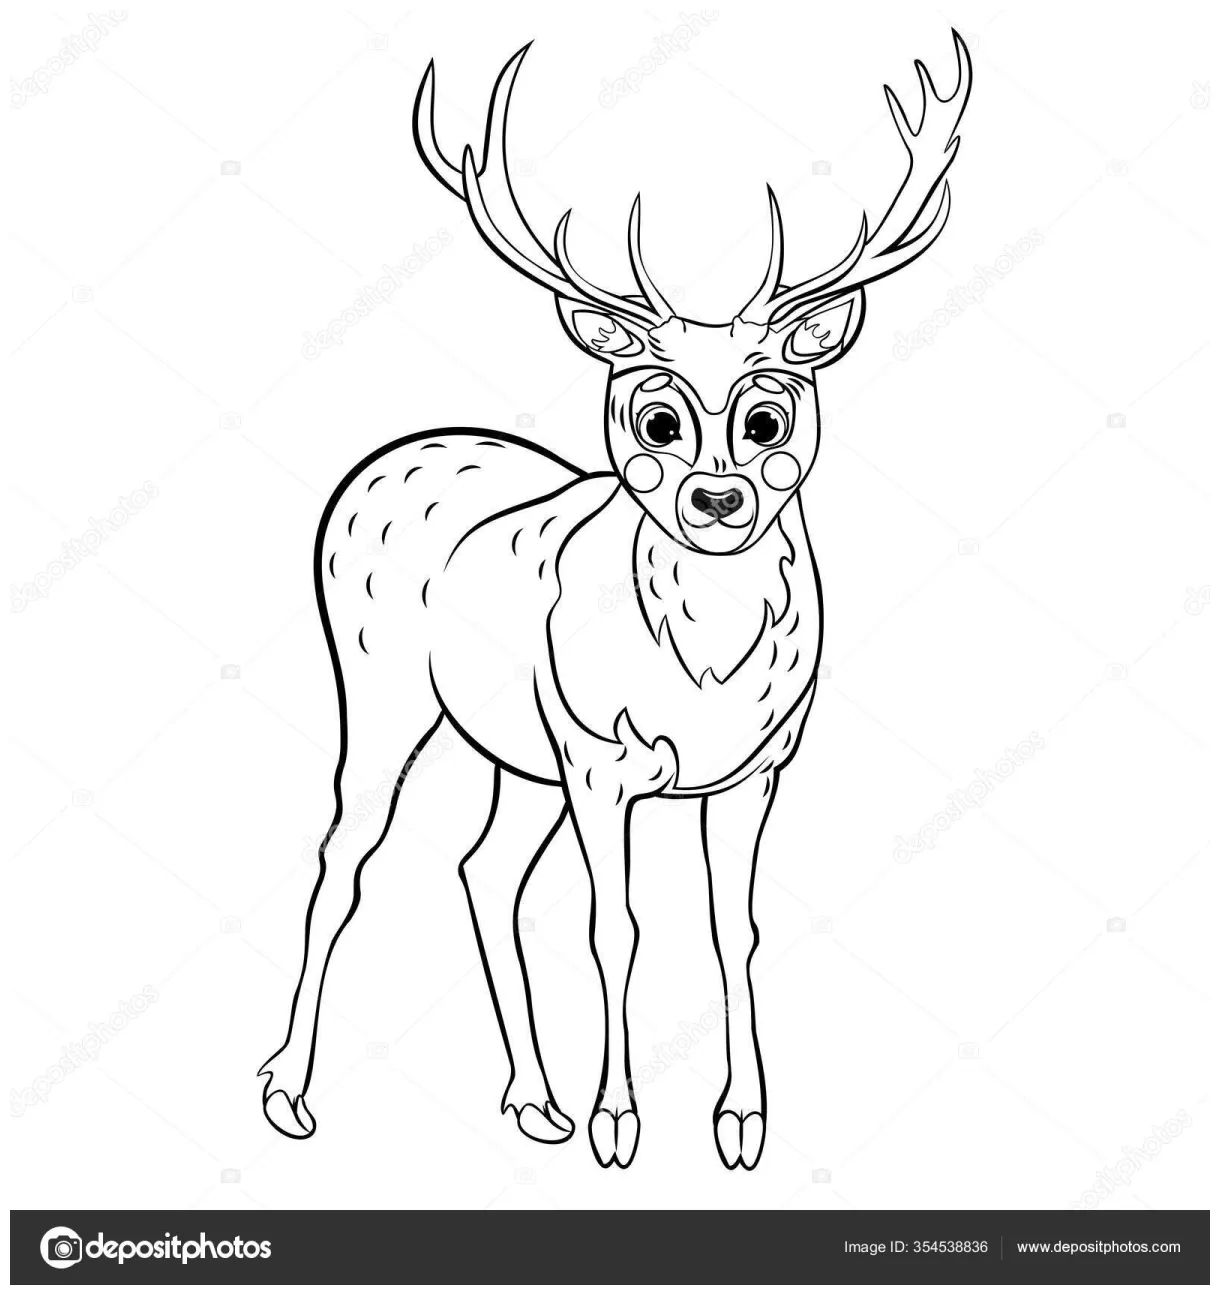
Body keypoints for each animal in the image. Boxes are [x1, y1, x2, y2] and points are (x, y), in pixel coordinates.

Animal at [260, 34, 972, 1170]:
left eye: (770, 415)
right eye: (655, 417)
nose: (716, 500)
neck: (706, 677)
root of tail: (384, 459)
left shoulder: (757, 767)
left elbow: (734, 925)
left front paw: (739, 1122)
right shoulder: (603, 759)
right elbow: (615, 926)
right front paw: (617, 1121)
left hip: (516, 749)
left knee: (482, 868)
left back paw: (530, 1099)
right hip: (380, 687)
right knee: (345, 853)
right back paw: (290, 1088)